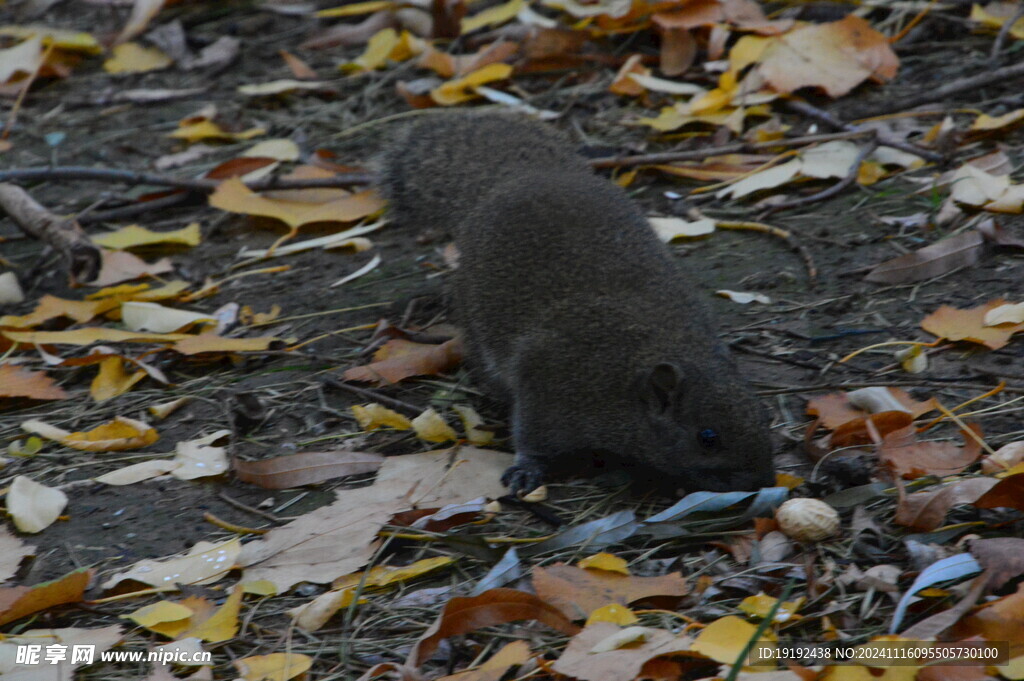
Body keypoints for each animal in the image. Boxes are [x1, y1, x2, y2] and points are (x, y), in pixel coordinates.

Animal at [380, 110, 770, 493]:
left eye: (763, 414)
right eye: (708, 437)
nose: (761, 480)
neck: (627, 375)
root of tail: (522, 177)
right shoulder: (547, 382)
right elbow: (532, 435)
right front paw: (527, 467)